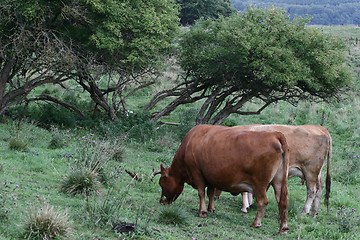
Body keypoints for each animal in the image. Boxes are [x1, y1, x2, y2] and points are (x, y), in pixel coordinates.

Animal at [151, 124, 290, 233]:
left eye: (161, 184)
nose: (162, 201)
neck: (190, 142)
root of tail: (275, 134)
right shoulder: (211, 176)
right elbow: (211, 193)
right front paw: (211, 208)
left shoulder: (197, 173)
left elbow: (201, 193)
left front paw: (202, 212)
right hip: (279, 182)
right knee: (283, 202)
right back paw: (283, 228)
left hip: (259, 184)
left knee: (263, 202)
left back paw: (256, 224)